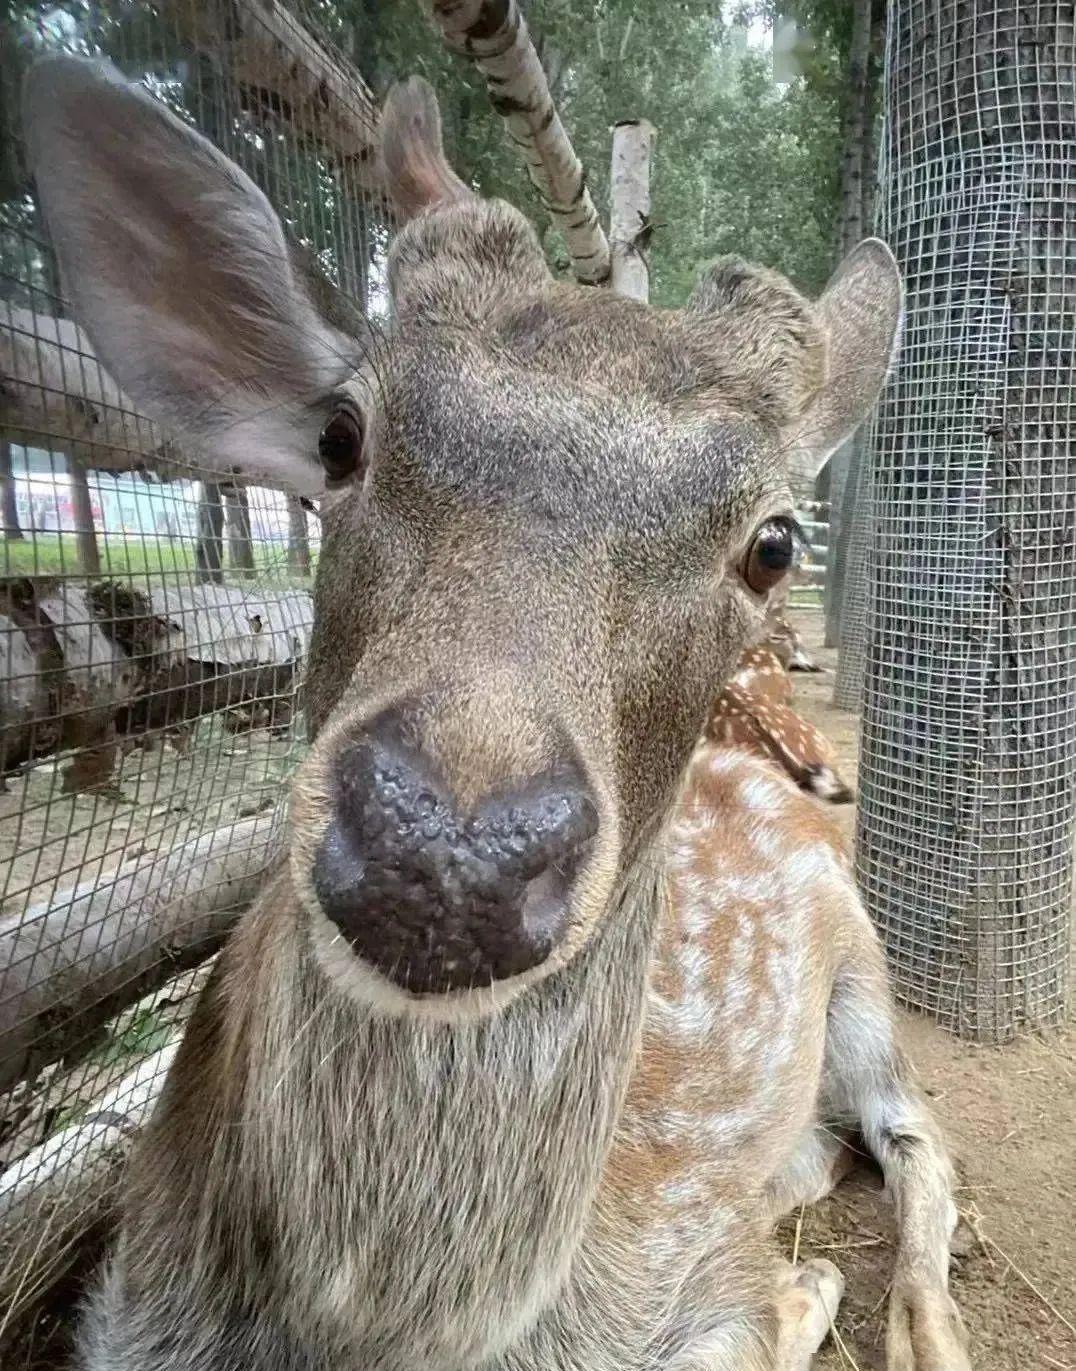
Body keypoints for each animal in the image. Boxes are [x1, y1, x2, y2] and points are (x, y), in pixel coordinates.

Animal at [23, 53, 964, 1371]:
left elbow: (764, 1295)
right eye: (340, 435)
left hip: (868, 978)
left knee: (918, 1137)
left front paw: (805, 1290)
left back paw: (920, 1323)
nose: (446, 851)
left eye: (772, 542)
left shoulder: (700, 1293)